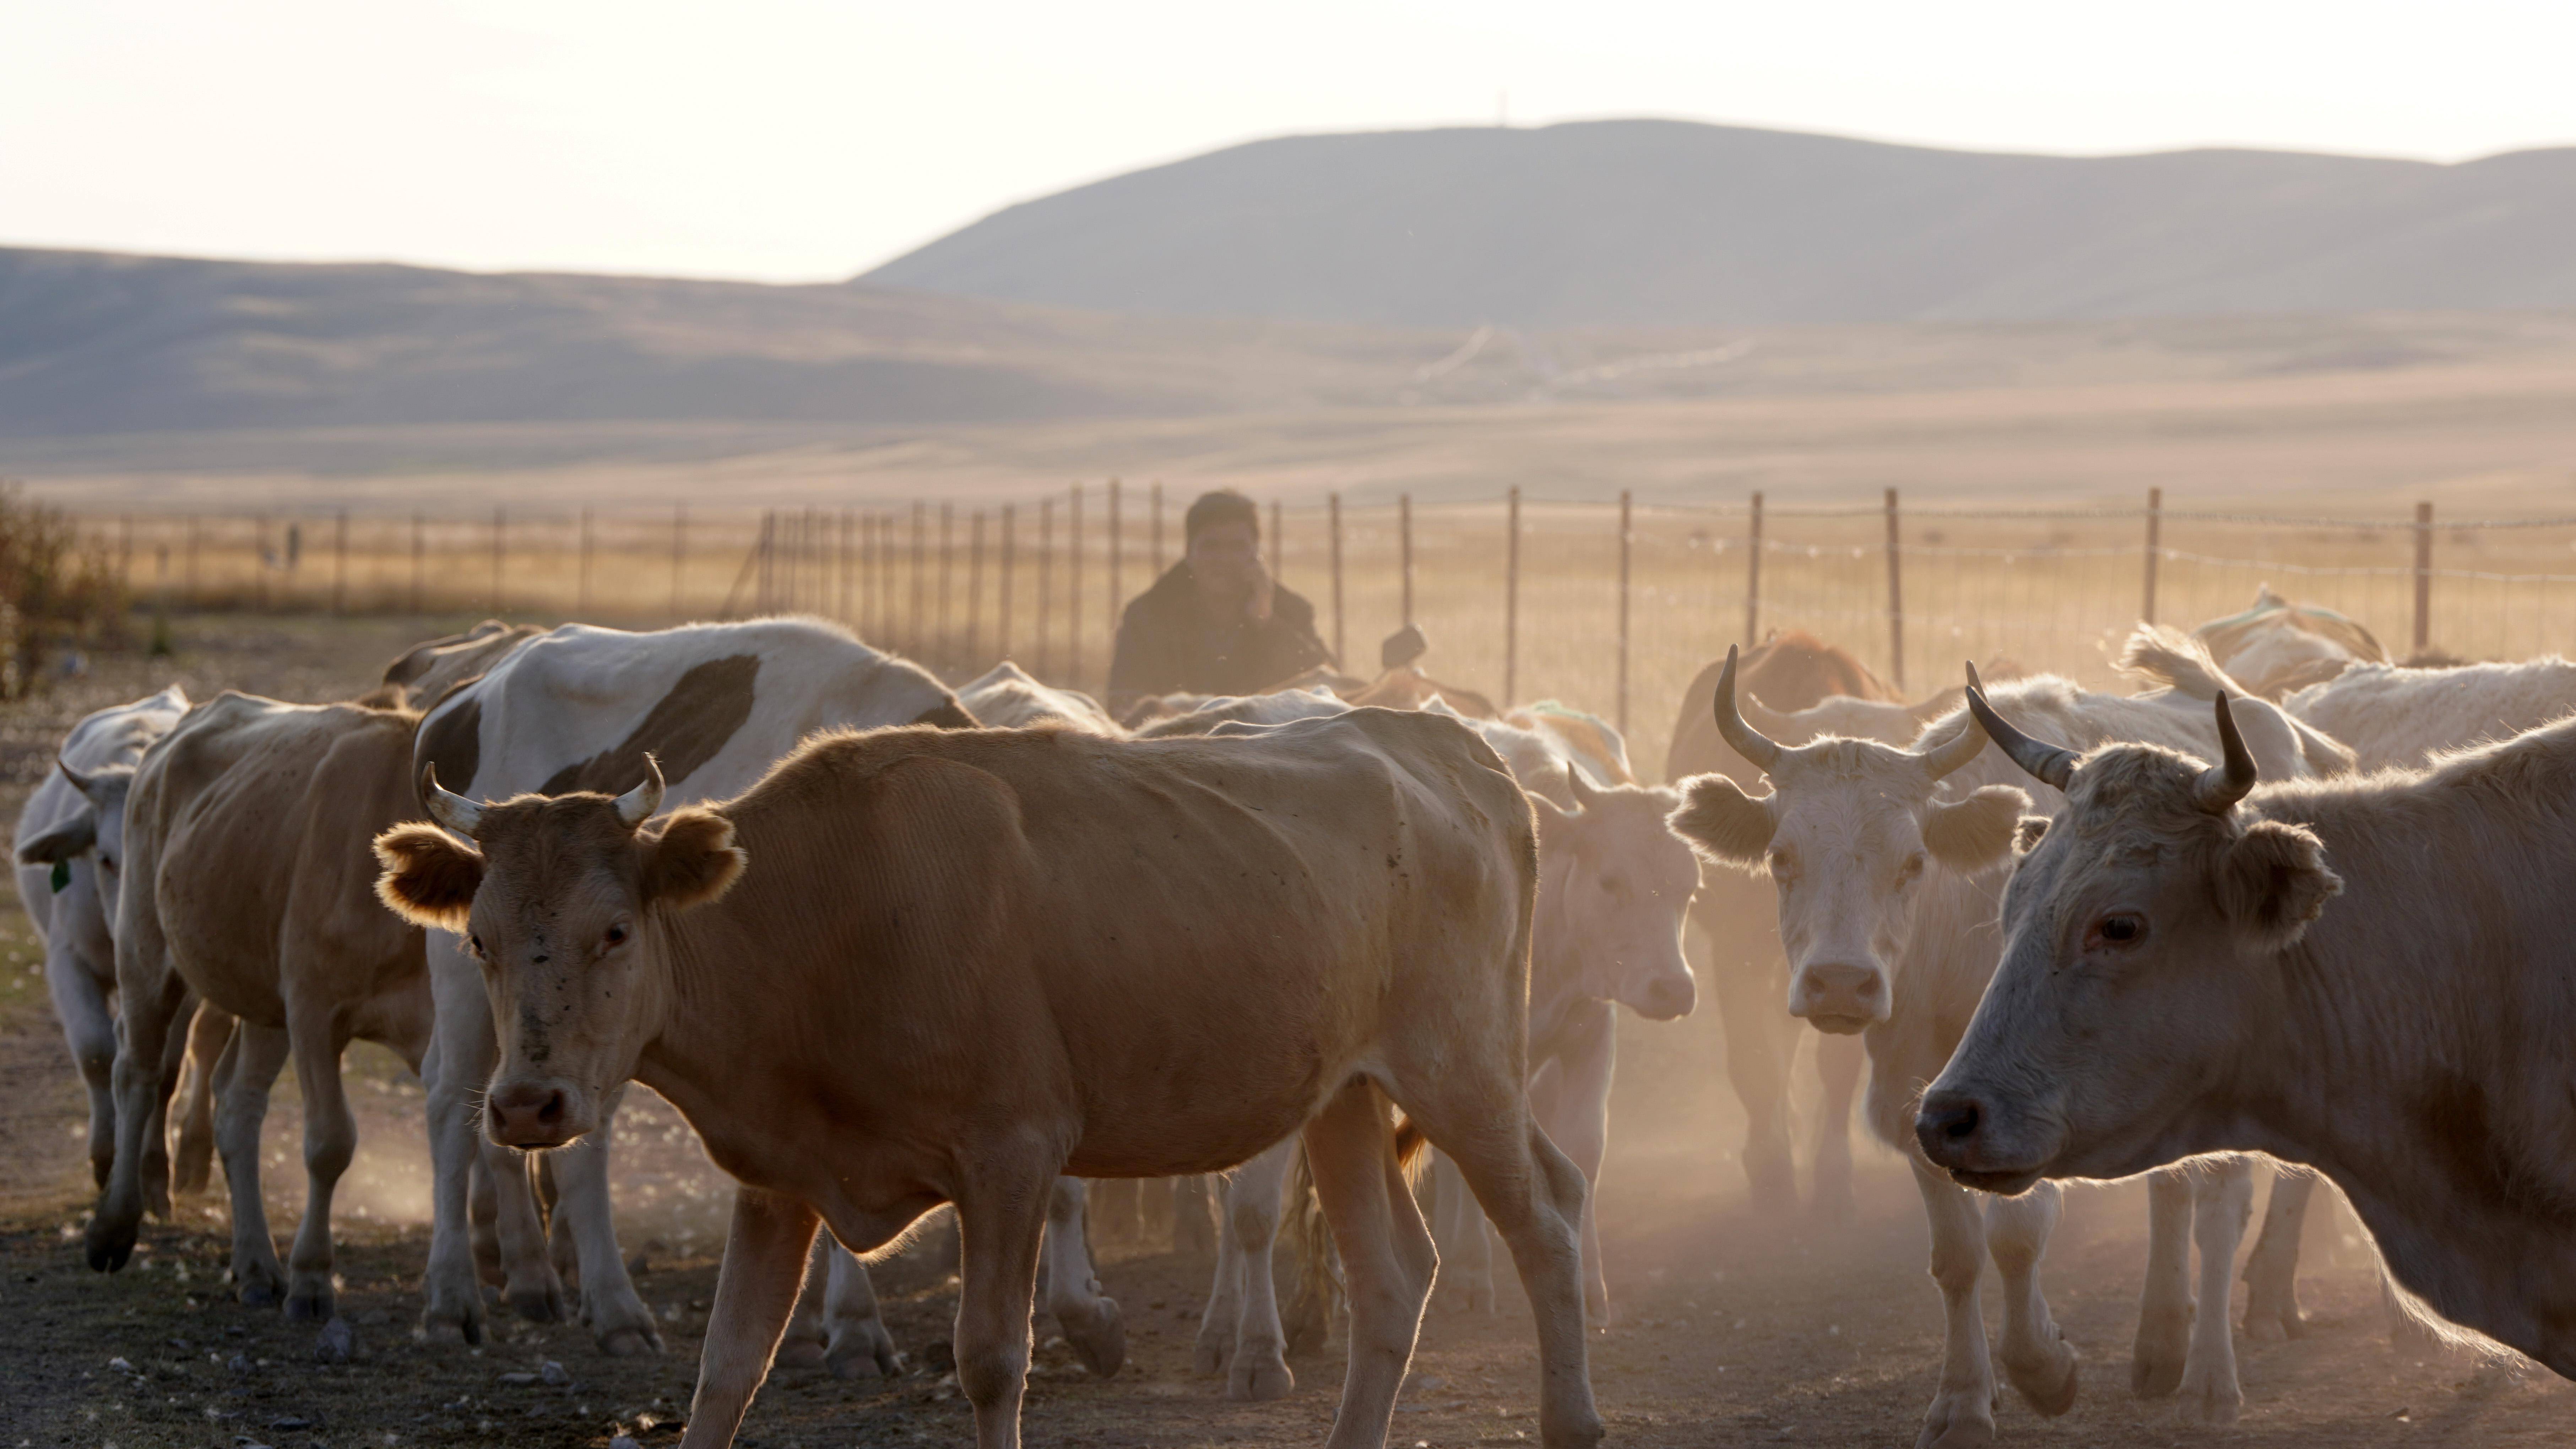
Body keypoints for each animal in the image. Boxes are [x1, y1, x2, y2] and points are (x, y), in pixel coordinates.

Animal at [376, 715, 1597, 1449]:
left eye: (616, 930)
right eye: (479, 940)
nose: (527, 1105)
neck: (824, 921)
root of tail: (1443, 744)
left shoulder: (1011, 1158)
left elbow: (989, 1361)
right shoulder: (775, 1181)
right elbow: (726, 1369)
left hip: (1462, 1071)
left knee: (1545, 1221)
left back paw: (1570, 1418)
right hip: (1343, 1096)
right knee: (1393, 1276)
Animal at [410, 620, 1118, 1369]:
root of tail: (477, 683)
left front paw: (1086, 1313)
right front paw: (851, 1325)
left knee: (573, 1138)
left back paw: (580, 1296)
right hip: (471, 992)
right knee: (451, 1106)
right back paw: (462, 1299)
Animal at [1669, 651, 2359, 1441]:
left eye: (1912, 862)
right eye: (1783, 859)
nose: (1840, 984)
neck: (1952, 939)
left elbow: (2018, 1234)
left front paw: (2044, 1368)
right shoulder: (1920, 1100)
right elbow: (1957, 1254)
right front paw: (1962, 1401)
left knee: (2220, 1204)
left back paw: (2209, 1380)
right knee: (2170, 1187)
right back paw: (2158, 1346)